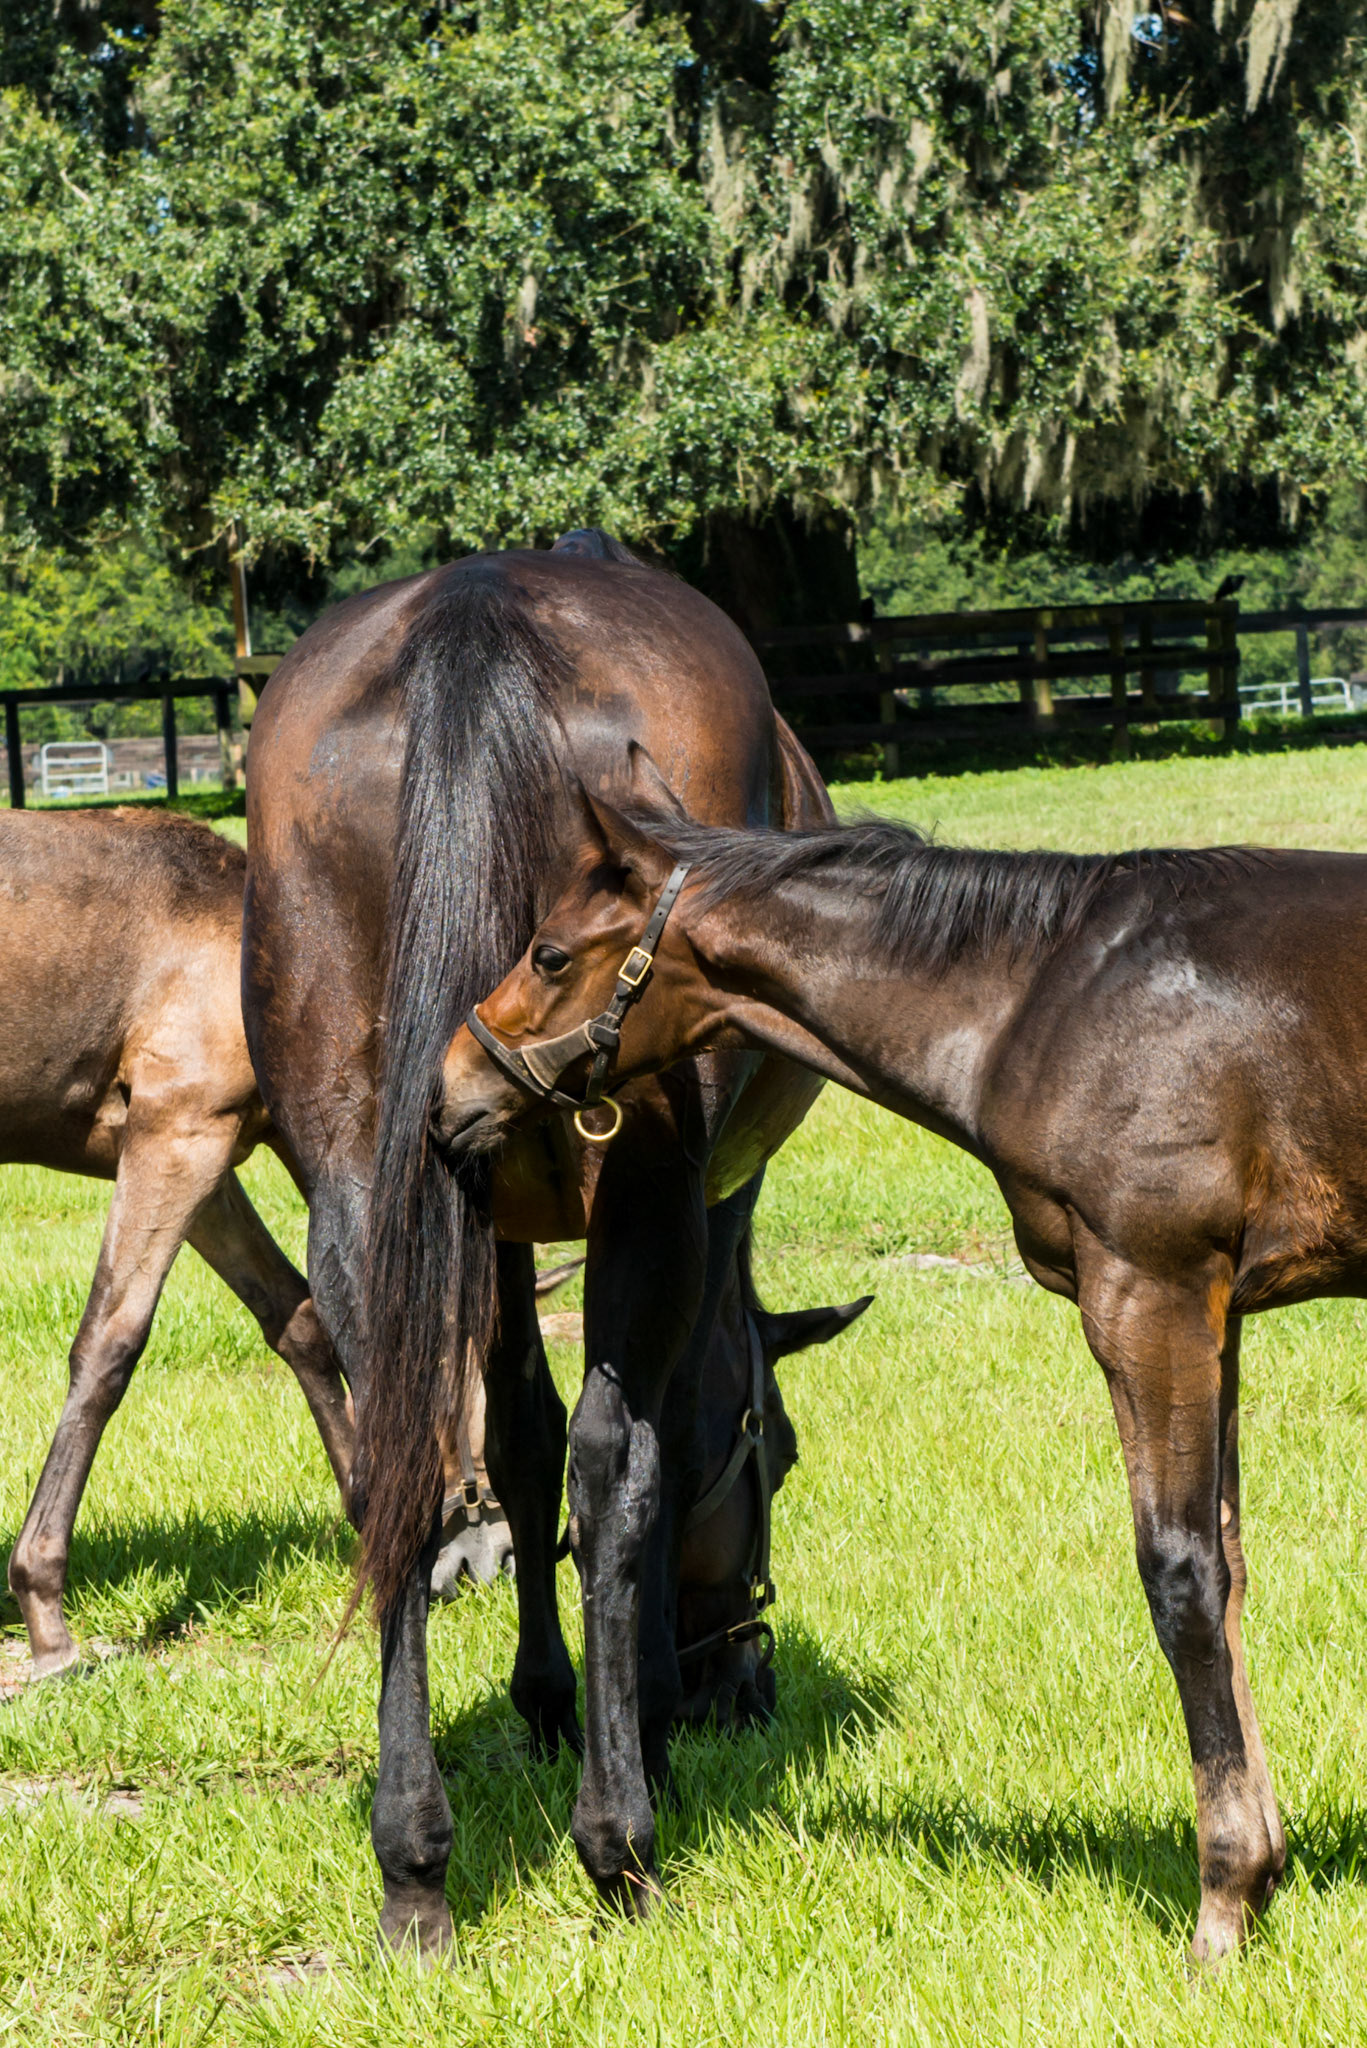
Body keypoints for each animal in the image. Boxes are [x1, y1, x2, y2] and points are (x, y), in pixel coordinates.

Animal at [241, 532, 831, 1951]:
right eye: (778, 1459)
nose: (744, 1681)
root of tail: (478, 615)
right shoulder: (711, 1201)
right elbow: (642, 1443)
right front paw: (641, 1717)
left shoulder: (478, 1207)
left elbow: (508, 1427)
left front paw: (548, 1696)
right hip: (654, 1185)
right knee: (614, 1456)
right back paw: (620, 1837)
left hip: (366, 1183)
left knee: (396, 1454)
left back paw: (414, 1860)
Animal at [439, 798, 1367, 1965]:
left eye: (551, 952)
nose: (447, 1089)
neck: (1049, 993)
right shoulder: (1212, 1313)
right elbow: (1231, 1567)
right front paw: (1262, 1873)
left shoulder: (1146, 1296)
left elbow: (1182, 1576)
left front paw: (1223, 1900)